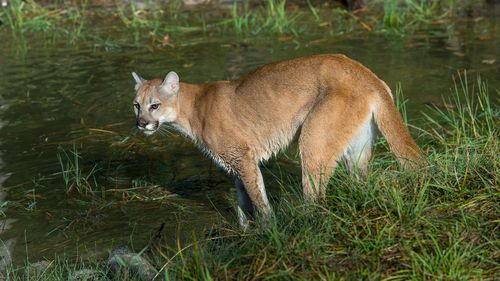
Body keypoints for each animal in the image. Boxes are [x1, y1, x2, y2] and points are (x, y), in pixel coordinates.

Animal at [132, 54, 422, 228]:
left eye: (154, 105)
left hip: (314, 139)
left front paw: (267, 229)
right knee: (360, 182)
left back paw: (303, 225)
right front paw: (245, 230)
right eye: (136, 105)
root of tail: (366, 73)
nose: (141, 123)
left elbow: (258, 199)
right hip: (357, 148)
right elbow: (243, 200)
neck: (193, 109)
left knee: (316, 195)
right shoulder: (236, 163)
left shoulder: (242, 157)